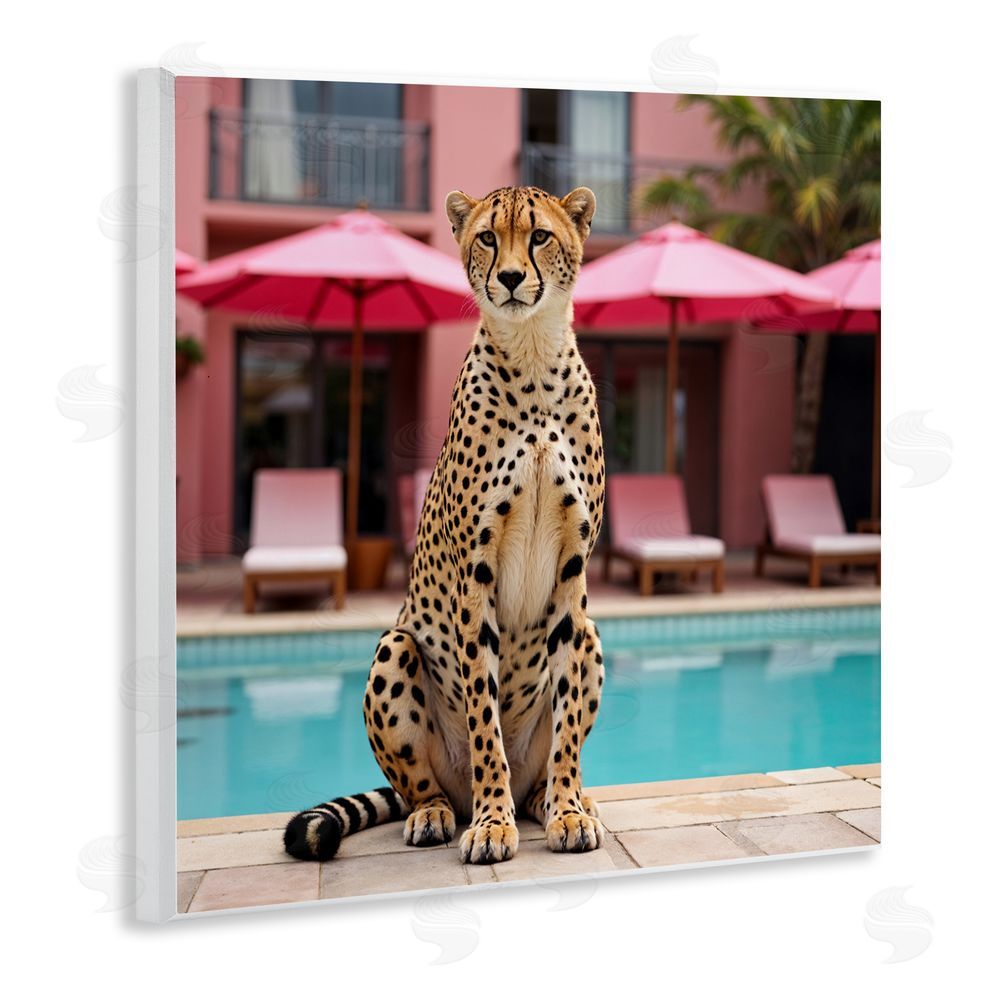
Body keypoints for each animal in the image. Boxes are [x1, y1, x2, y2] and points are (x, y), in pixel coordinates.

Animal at [284, 184, 606, 866]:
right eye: (487, 237)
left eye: (539, 236)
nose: (508, 278)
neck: (533, 357)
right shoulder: (473, 575)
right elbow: (485, 719)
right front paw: (490, 823)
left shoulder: (574, 575)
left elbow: (566, 723)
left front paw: (567, 810)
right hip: (395, 647)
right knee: (421, 785)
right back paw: (439, 813)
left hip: (592, 634)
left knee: (541, 767)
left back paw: (552, 799)